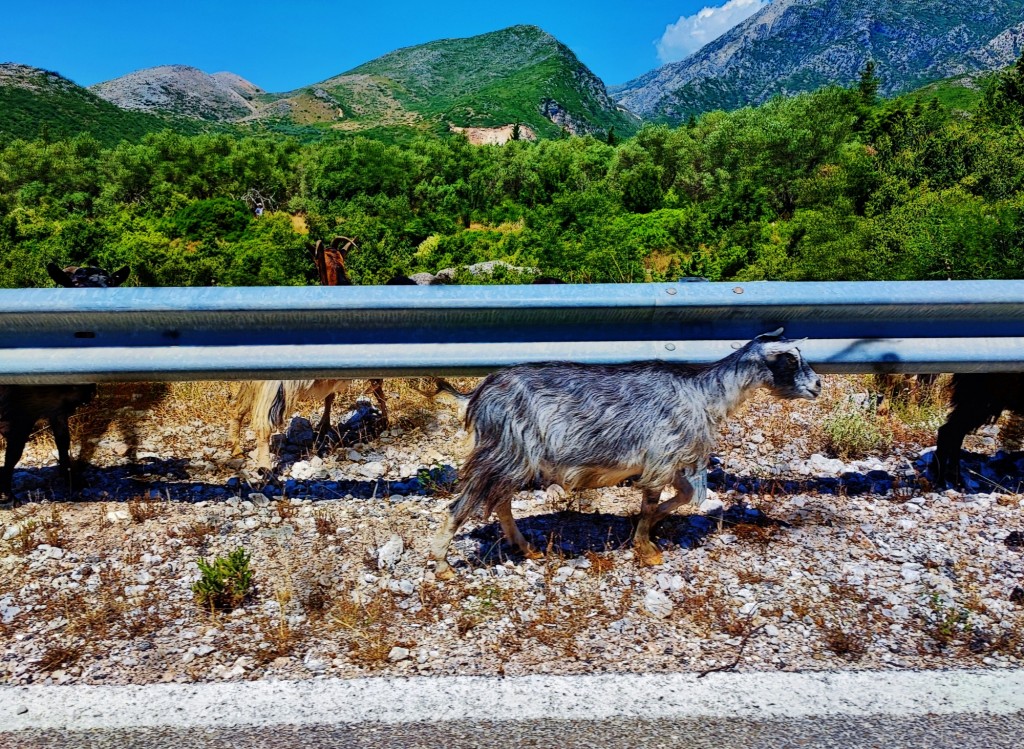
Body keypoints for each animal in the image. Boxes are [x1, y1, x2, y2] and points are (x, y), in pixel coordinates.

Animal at [428, 329, 819, 581]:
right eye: (789, 359)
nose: (817, 386)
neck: (704, 394)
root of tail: (477, 395)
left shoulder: (673, 461)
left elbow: (684, 496)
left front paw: (646, 527)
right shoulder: (661, 457)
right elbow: (651, 503)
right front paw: (647, 549)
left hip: (514, 460)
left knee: (501, 501)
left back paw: (526, 548)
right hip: (503, 453)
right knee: (462, 504)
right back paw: (443, 566)